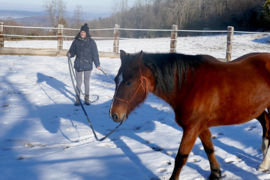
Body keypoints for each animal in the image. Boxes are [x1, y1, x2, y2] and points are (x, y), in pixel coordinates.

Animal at [109, 49, 270, 180]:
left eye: (129, 82)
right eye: (116, 80)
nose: (114, 114)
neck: (188, 85)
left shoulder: (192, 128)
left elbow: (181, 158)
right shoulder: (201, 126)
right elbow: (209, 148)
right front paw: (215, 173)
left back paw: (264, 163)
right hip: (257, 109)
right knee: (266, 125)